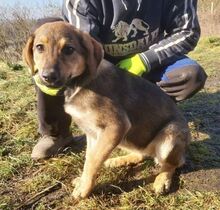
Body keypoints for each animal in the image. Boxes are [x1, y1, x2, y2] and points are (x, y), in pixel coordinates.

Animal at [22, 21, 191, 200]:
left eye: (68, 49)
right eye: (39, 47)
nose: (47, 77)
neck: (78, 82)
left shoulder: (115, 126)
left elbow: (93, 162)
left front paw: (84, 189)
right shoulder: (93, 134)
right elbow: (89, 158)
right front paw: (82, 181)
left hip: (169, 136)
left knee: (171, 164)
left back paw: (162, 180)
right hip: (128, 138)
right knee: (141, 154)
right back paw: (117, 161)